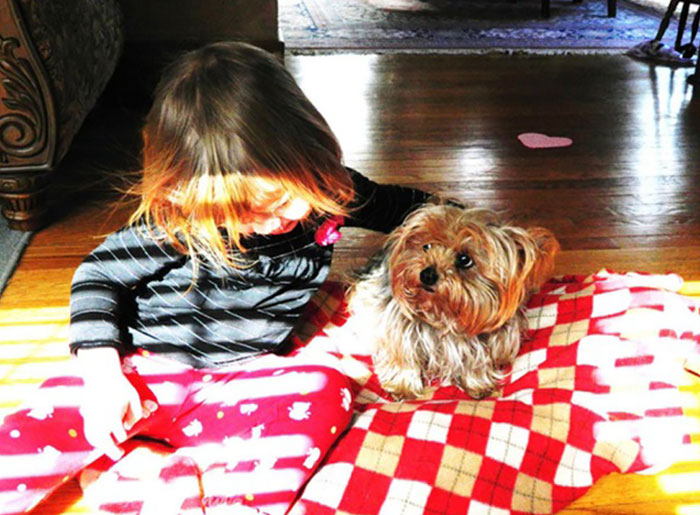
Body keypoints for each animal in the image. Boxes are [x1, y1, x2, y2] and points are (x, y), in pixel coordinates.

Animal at [347, 204, 559, 400]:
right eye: (427, 246)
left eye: (464, 259)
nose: (427, 274)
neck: (443, 310)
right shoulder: (398, 328)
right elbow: (402, 355)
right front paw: (402, 386)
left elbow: (478, 360)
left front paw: (478, 384)